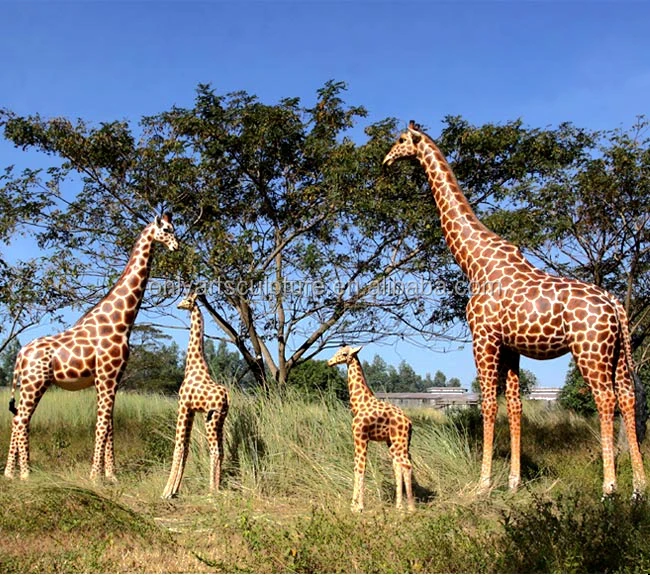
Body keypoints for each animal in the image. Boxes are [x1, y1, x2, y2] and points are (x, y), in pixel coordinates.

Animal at [4, 213, 179, 481]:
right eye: (167, 230)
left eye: (174, 229)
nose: (176, 246)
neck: (120, 321)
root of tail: (21, 353)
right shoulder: (107, 375)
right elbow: (102, 423)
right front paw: (95, 476)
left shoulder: (112, 378)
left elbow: (110, 423)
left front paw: (111, 475)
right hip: (35, 383)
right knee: (21, 420)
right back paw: (25, 474)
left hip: (29, 384)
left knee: (18, 419)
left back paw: (10, 473)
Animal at [162, 292, 229, 499]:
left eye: (186, 299)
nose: (178, 305)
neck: (193, 365)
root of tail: (226, 397)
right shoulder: (191, 411)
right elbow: (186, 447)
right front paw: (174, 490)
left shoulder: (183, 406)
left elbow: (178, 446)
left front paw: (166, 492)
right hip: (220, 420)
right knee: (221, 450)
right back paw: (217, 488)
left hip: (211, 419)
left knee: (215, 450)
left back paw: (211, 492)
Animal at [328, 345, 415, 512]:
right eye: (337, 351)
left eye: (344, 354)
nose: (329, 362)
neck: (359, 404)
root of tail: (409, 423)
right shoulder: (358, 438)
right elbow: (356, 467)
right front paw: (353, 505)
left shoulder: (361, 436)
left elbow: (361, 467)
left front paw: (359, 507)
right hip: (395, 443)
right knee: (398, 466)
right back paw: (399, 506)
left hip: (399, 442)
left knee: (406, 465)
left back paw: (411, 508)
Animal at [383, 121, 647, 497]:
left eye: (401, 140)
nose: (387, 160)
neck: (473, 261)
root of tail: (615, 304)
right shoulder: (511, 348)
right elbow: (516, 406)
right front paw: (513, 481)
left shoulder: (483, 339)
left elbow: (489, 405)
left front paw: (483, 483)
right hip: (619, 353)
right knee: (627, 398)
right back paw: (638, 487)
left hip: (590, 350)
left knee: (605, 399)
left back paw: (609, 485)